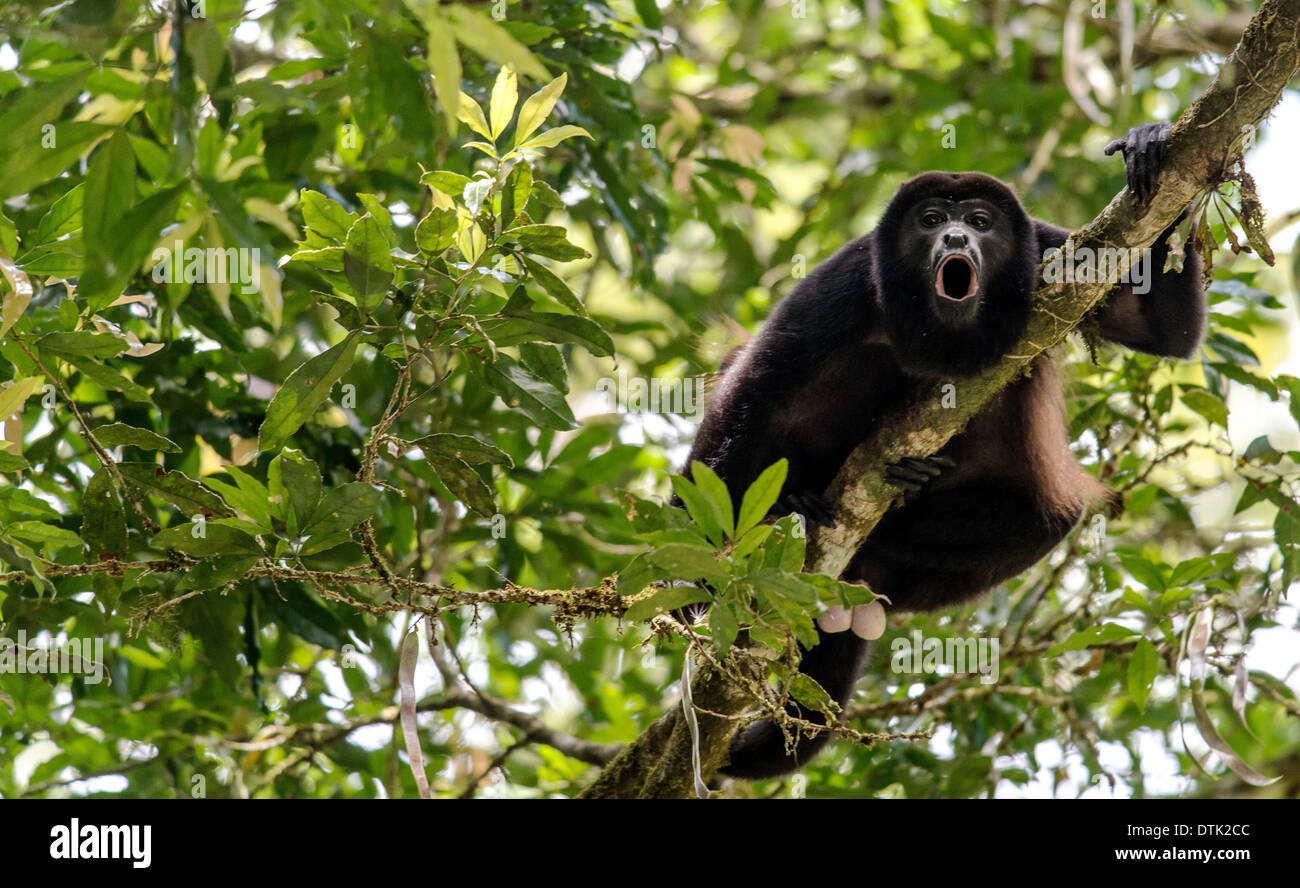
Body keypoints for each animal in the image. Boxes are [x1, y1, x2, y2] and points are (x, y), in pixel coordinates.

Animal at [686, 123, 1201, 780]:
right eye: (931, 220)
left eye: (979, 222)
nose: (955, 236)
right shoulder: (846, 277)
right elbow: (753, 390)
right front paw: (695, 591)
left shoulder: (1050, 249)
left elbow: (1163, 332)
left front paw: (1151, 147)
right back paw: (799, 501)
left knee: (1045, 519)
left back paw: (897, 505)